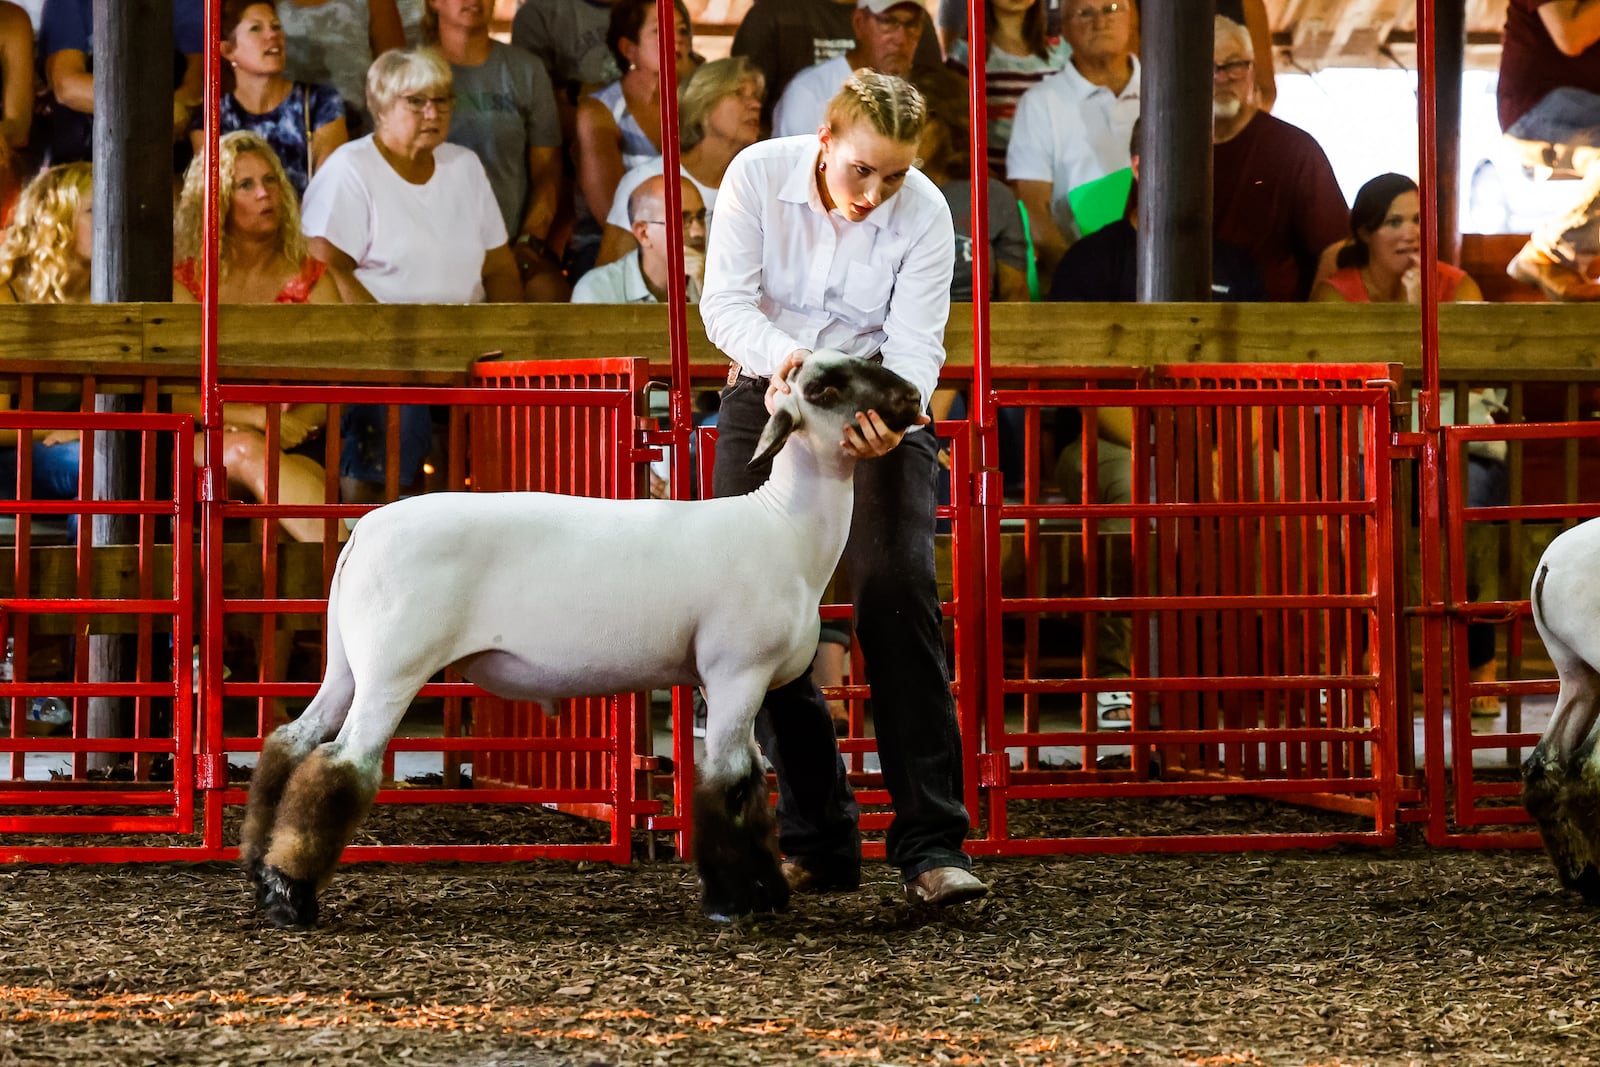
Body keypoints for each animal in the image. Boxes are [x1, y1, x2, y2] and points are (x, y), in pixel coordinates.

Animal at [232, 350, 921, 927]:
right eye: (826, 387)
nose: (914, 396)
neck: (785, 529)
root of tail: (364, 532)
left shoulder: (744, 684)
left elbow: (752, 783)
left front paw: (766, 892)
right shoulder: (735, 673)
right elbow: (726, 784)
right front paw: (731, 904)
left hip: (349, 662)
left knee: (292, 742)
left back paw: (261, 873)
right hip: (394, 667)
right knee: (339, 765)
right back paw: (292, 897)